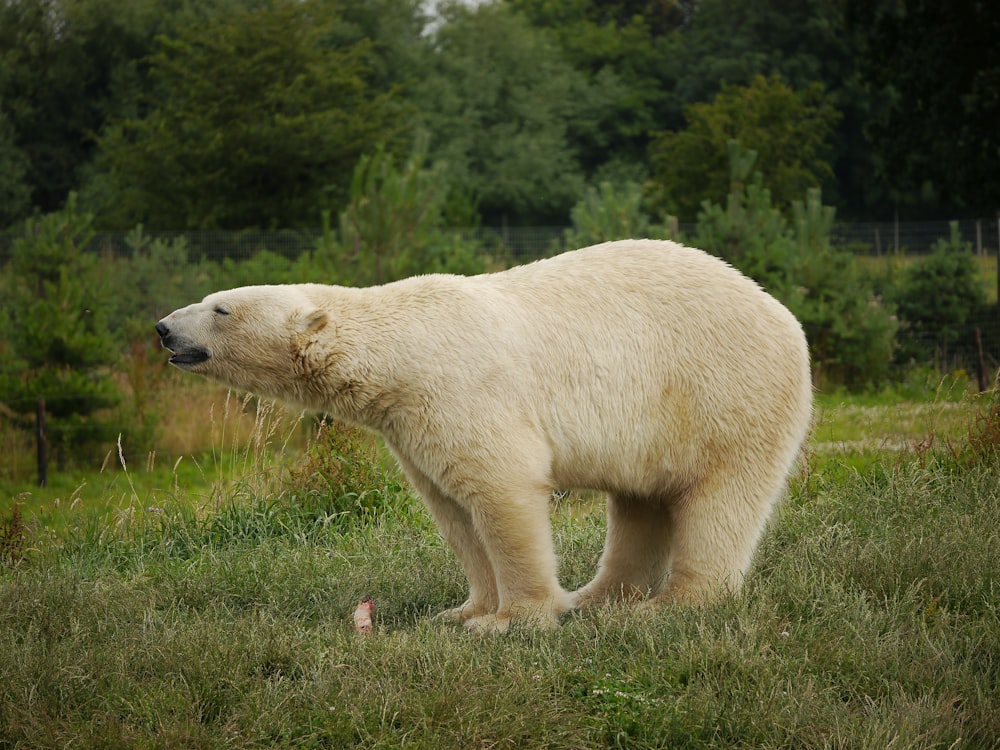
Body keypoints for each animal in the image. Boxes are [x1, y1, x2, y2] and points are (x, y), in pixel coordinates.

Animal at [158, 241, 812, 636]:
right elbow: (451, 508)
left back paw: (668, 606)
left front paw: (510, 620)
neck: (401, 349)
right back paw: (598, 599)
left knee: (719, 500)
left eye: (220, 309)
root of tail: (783, 314)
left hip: (724, 393)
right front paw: (461, 611)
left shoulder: (460, 390)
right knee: (640, 502)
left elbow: (501, 491)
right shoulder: (411, 424)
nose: (163, 328)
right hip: (659, 422)